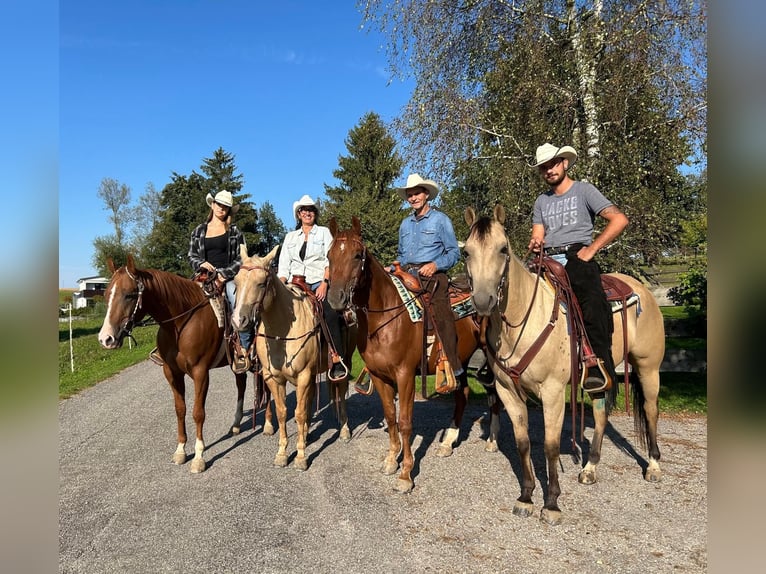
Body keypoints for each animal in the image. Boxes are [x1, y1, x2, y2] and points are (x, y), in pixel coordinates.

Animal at [97, 255, 248, 473]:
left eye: (129, 295)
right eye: (107, 294)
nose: (105, 339)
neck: (181, 323)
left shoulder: (201, 373)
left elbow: (198, 413)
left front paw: (199, 458)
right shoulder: (171, 372)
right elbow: (180, 410)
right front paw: (181, 451)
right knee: (241, 384)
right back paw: (236, 424)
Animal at [231, 245, 356, 471]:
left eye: (262, 283)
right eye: (236, 282)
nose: (238, 320)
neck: (282, 332)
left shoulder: (304, 375)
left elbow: (298, 413)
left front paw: (300, 457)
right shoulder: (273, 378)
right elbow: (283, 412)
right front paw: (282, 454)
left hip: (345, 362)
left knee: (340, 392)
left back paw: (344, 430)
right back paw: (306, 434)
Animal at [325, 216, 499, 493]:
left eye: (357, 255)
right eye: (329, 256)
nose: (335, 298)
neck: (384, 317)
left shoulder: (405, 375)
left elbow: (405, 422)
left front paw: (406, 474)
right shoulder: (379, 376)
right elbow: (390, 418)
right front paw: (390, 460)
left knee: (495, 396)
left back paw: (492, 441)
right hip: (460, 361)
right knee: (463, 394)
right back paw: (447, 442)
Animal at [463, 205, 665, 524]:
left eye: (503, 249)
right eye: (466, 252)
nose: (483, 301)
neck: (524, 318)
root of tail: (641, 289)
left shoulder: (553, 392)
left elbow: (550, 445)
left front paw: (552, 504)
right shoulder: (508, 391)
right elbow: (523, 443)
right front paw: (526, 497)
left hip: (648, 367)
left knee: (650, 410)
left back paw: (654, 466)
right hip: (600, 375)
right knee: (601, 414)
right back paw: (589, 469)